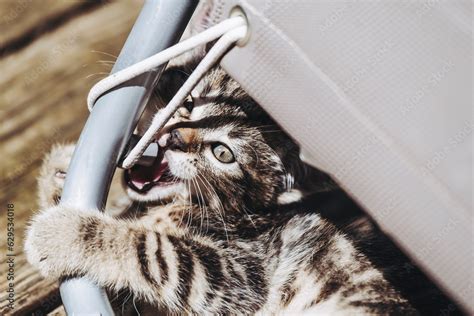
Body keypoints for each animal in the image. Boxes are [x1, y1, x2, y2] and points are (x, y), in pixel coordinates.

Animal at [25, 61, 418, 314]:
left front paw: (65, 233)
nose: (174, 138)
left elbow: (154, 252)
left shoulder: (241, 274)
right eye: (187, 103)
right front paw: (60, 172)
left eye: (222, 153)